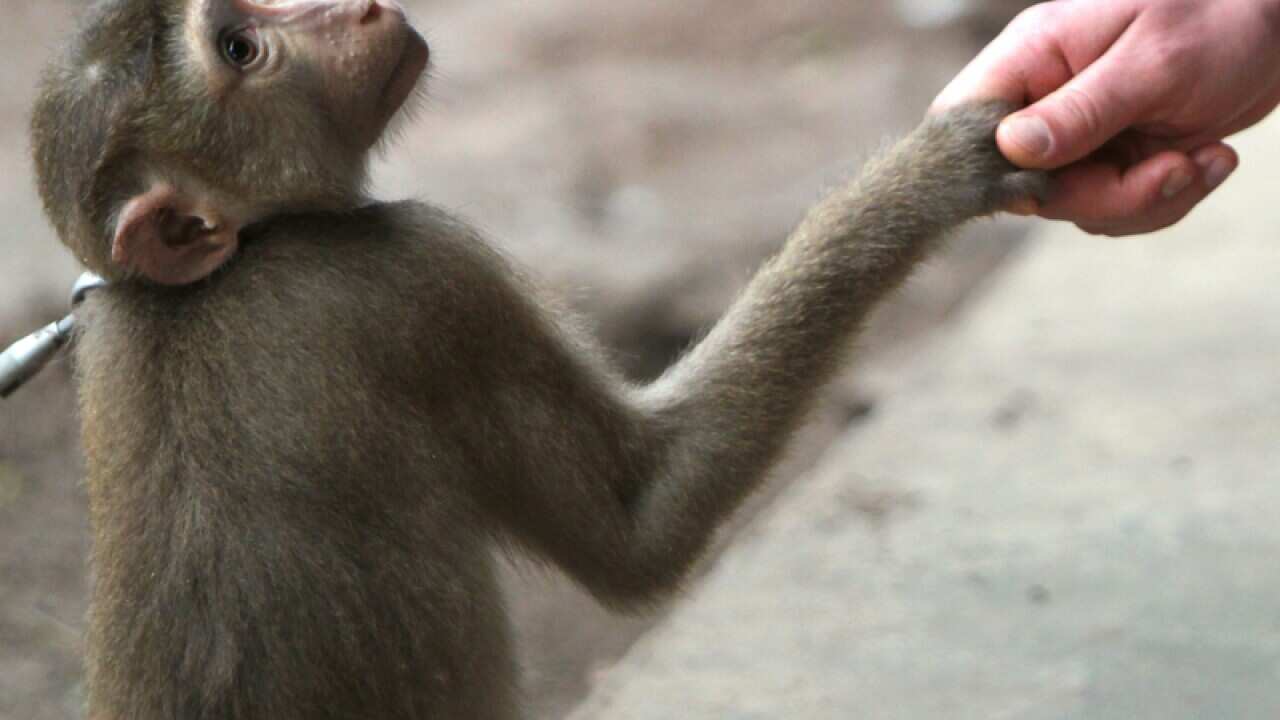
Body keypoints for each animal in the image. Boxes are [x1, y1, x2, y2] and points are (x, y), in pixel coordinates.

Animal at [29, 0, 1045, 718]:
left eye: (249, 14)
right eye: (238, 48)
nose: (356, 5)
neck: (210, 277)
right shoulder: (420, 274)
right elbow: (642, 520)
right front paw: (935, 172)